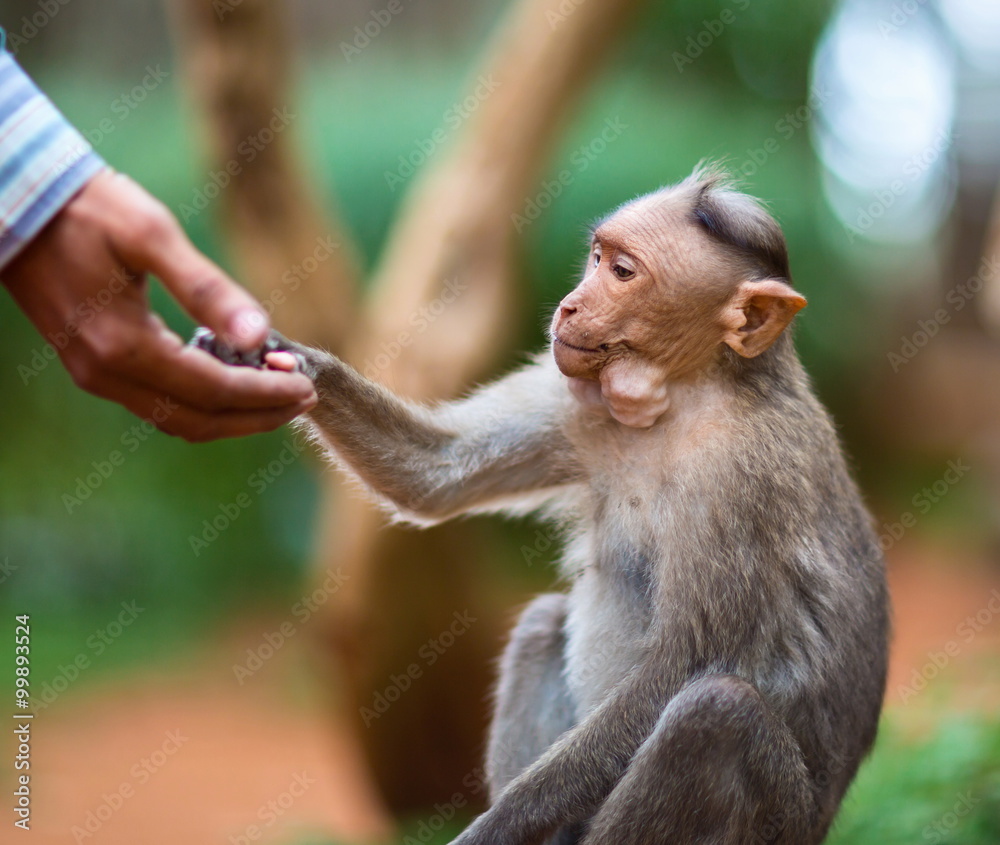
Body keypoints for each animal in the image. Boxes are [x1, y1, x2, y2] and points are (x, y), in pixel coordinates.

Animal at [193, 164, 889, 845]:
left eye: (623, 273)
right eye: (598, 257)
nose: (570, 304)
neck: (689, 391)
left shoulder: (740, 481)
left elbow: (674, 673)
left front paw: (488, 832)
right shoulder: (577, 399)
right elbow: (435, 474)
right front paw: (278, 358)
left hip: (782, 825)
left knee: (716, 714)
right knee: (543, 622)